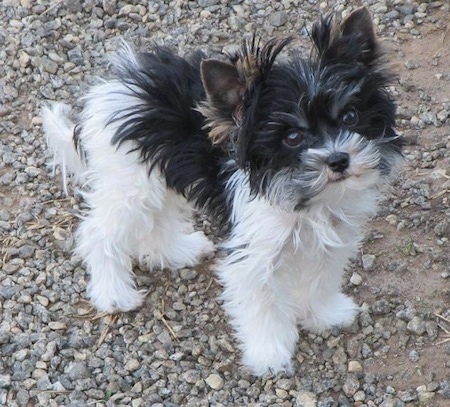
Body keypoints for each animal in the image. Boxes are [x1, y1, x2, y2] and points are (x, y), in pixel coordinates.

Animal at [42, 7, 402, 376]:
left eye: (350, 116)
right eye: (292, 137)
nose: (339, 160)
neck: (303, 195)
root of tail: (114, 87)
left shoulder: (330, 239)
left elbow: (321, 277)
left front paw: (324, 314)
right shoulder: (253, 254)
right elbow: (262, 302)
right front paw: (269, 353)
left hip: (160, 174)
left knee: (156, 221)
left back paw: (177, 251)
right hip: (131, 183)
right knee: (99, 232)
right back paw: (113, 293)